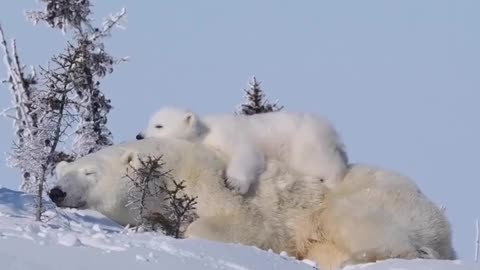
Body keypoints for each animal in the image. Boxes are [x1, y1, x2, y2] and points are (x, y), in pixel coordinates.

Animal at [50, 138, 456, 268]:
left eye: (89, 172)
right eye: (63, 172)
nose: (56, 192)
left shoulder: (219, 186)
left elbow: (249, 226)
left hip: (375, 199)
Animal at [135, 107, 348, 194]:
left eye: (159, 125)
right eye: (149, 122)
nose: (139, 136)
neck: (206, 130)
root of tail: (328, 128)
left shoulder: (231, 135)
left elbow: (247, 154)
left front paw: (235, 183)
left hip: (301, 143)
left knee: (316, 162)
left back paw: (332, 179)